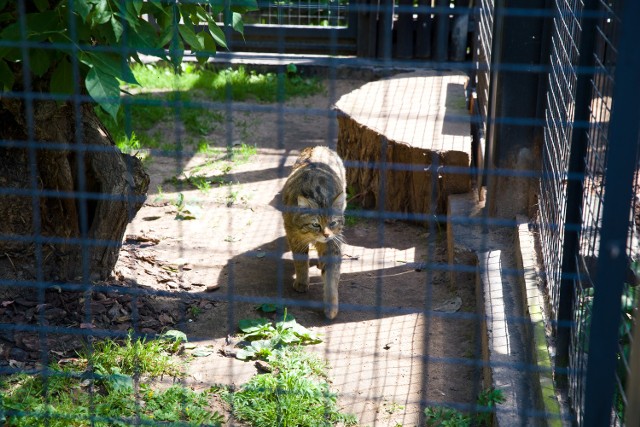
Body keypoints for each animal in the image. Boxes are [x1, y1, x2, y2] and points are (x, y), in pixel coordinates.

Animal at [284, 145, 348, 320]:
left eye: (332, 223)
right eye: (315, 224)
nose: (326, 234)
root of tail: (318, 146)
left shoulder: (334, 242)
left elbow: (332, 276)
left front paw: (331, 306)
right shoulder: (294, 237)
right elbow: (300, 262)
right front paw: (301, 282)